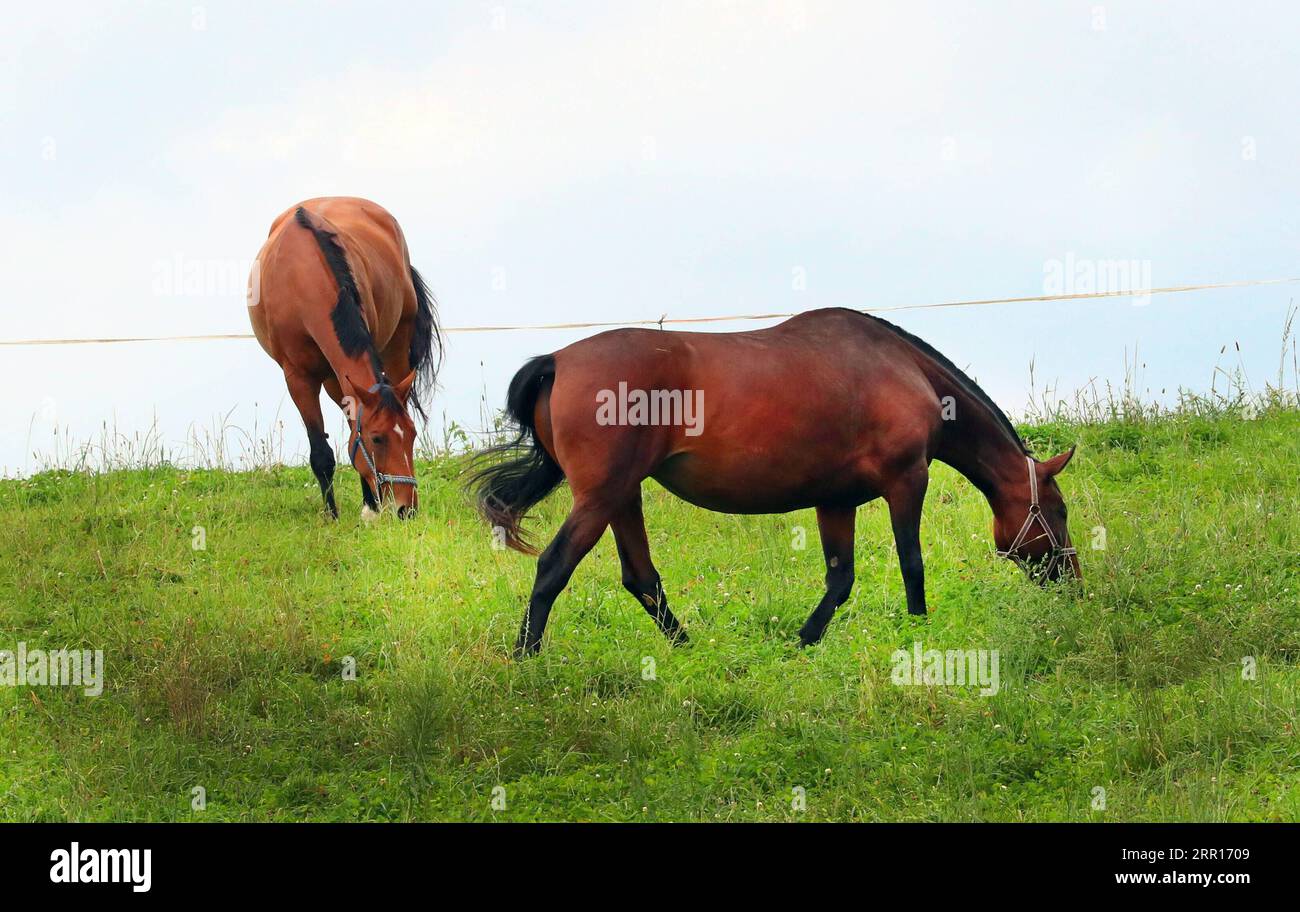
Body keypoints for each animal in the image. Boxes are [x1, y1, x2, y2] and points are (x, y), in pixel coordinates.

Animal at [248, 196, 441, 517]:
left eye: (412, 434)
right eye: (377, 438)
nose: (407, 509)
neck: (303, 277)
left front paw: (370, 508)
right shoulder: (299, 379)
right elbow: (322, 453)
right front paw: (332, 515)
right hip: (332, 378)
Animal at [473, 309, 1081, 657]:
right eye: (1058, 511)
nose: (1073, 582)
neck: (903, 370)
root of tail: (558, 360)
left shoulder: (836, 500)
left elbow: (840, 579)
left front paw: (803, 643)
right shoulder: (907, 481)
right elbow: (912, 563)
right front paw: (918, 633)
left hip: (623, 496)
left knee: (641, 578)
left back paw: (691, 652)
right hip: (600, 498)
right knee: (554, 568)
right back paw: (527, 659)